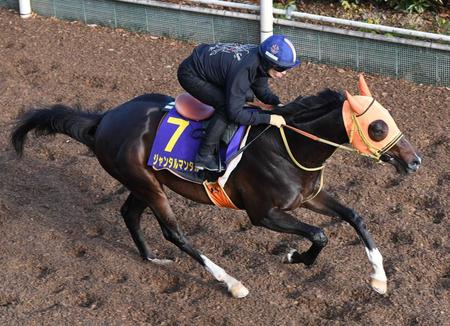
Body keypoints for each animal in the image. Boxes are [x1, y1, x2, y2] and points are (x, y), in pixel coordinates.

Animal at [11, 76, 422, 298]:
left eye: (389, 118)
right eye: (377, 127)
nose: (415, 160)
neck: (288, 145)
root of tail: (104, 119)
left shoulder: (311, 196)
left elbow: (354, 217)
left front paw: (380, 280)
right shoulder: (263, 214)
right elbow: (320, 235)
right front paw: (294, 257)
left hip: (143, 182)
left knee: (129, 213)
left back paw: (151, 258)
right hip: (148, 185)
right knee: (174, 232)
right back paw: (231, 283)